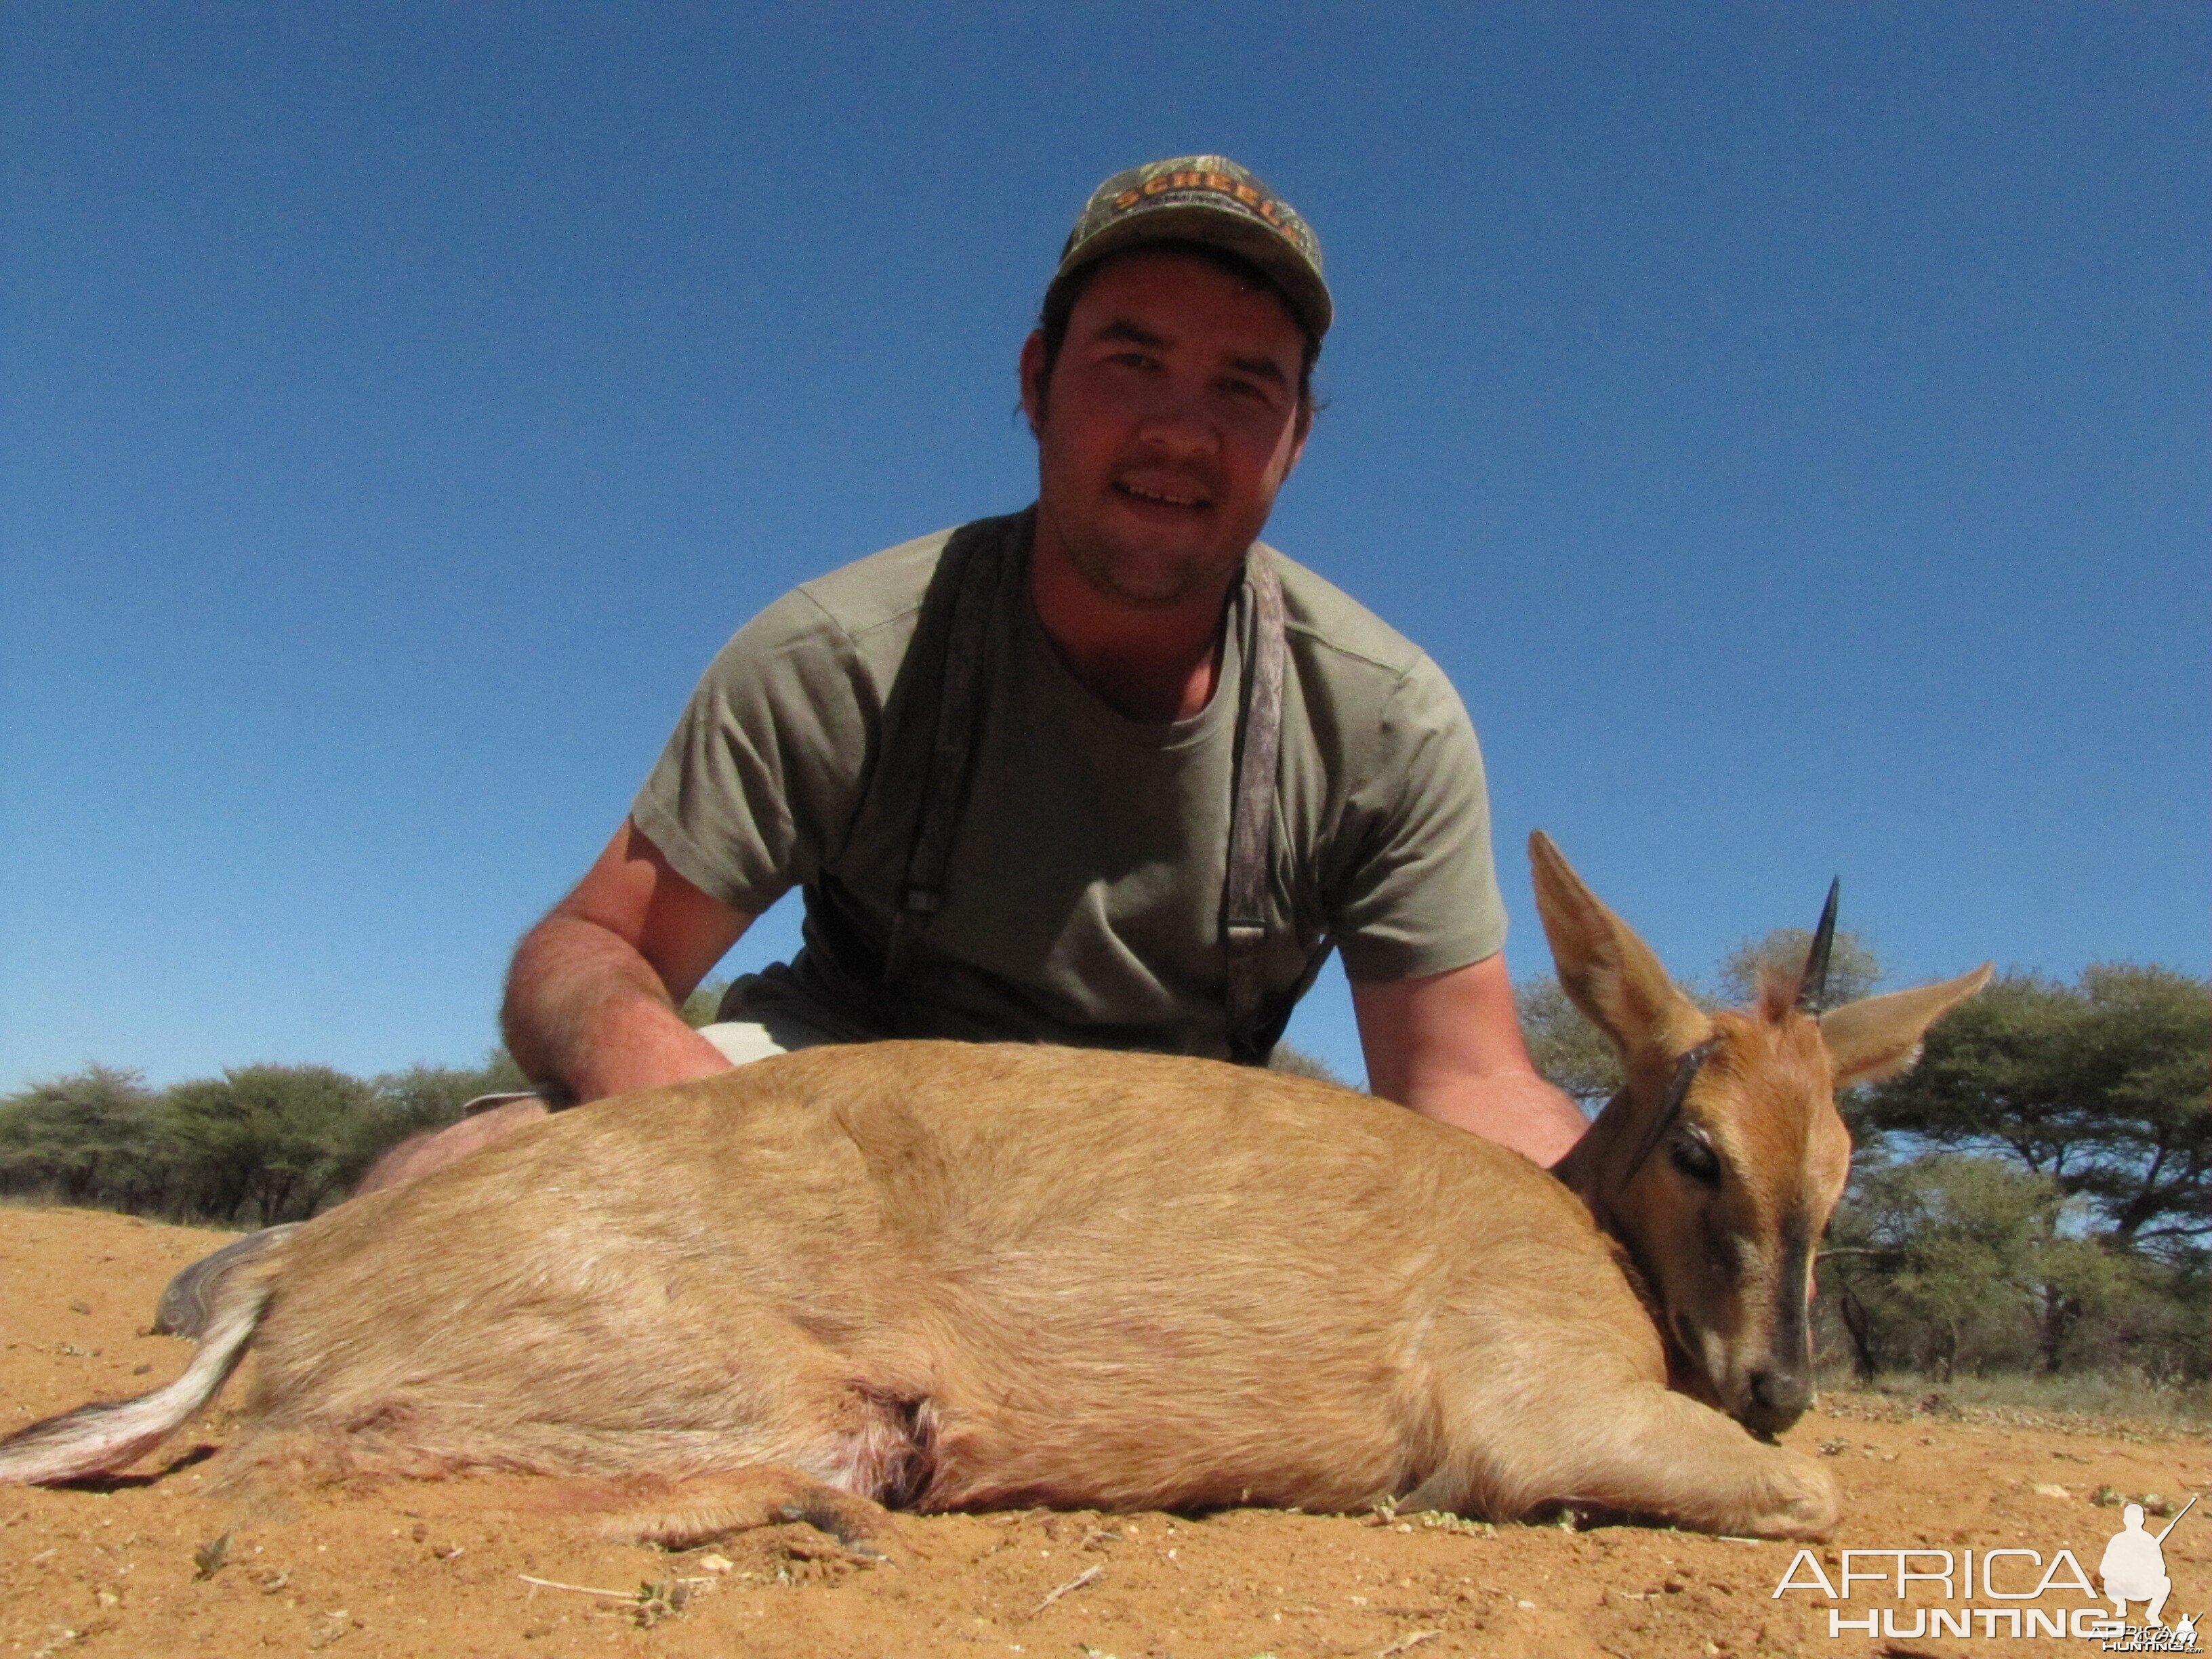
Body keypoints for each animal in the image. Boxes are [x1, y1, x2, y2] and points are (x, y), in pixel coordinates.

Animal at [0, 836, 1990, 1557]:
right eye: (1697, 1144)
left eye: (1847, 1164)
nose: (1776, 1379)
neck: (1573, 1222)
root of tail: (312, 1267)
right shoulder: (1535, 1415)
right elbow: (1814, 1500)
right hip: (779, 1399)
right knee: (293, 1474)